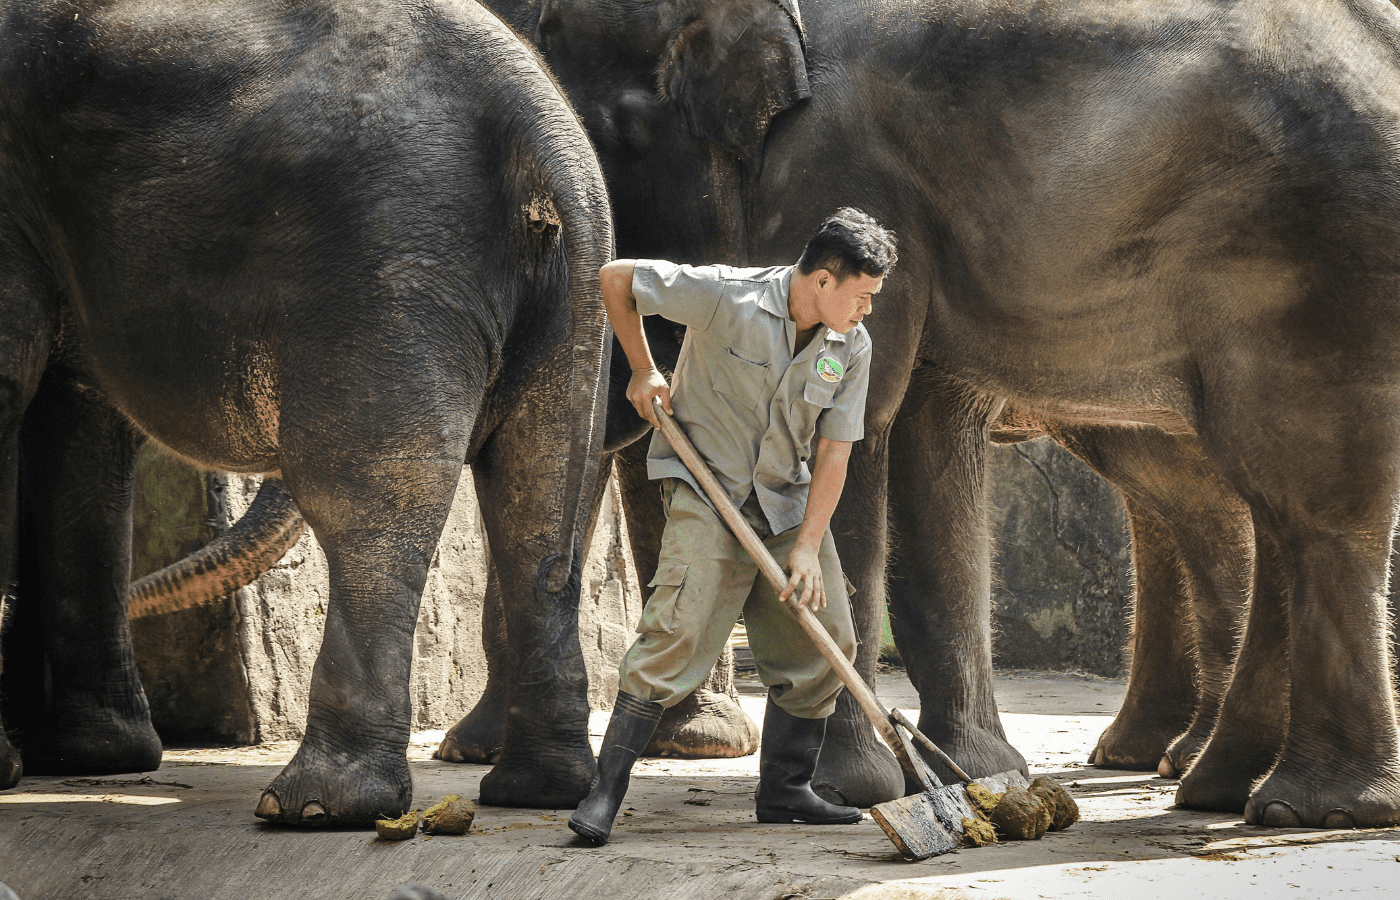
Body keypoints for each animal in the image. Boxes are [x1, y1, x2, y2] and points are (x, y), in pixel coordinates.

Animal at [0, 0, 616, 822]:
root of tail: (543, 125)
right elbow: (79, 424)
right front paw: (88, 759)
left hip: (383, 271)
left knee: (365, 500)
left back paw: (314, 807)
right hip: (561, 305)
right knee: (535, 491)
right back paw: (535, 793)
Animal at [471, 0, 1400, 828]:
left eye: (621, 133)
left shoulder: (831, 163)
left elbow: (859, 433)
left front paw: (859, 788)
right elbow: (928, 440)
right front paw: (976, 776)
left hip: (1312, 256)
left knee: (1301, 500)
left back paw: (1301, 806)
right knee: (1256, 501)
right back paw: (1215, 786)